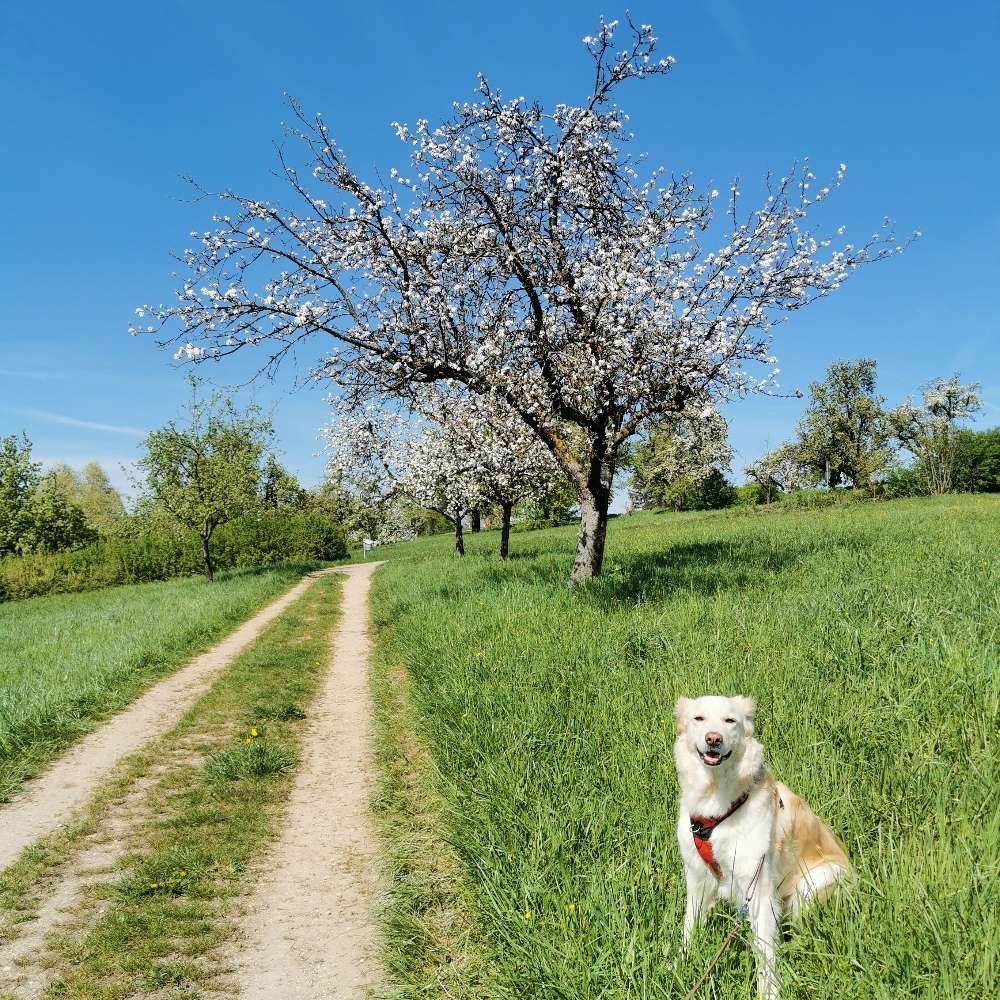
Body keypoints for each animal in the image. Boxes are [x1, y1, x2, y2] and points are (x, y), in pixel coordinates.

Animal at [676, 700, 848, 996]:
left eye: (730, 720)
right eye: (699, 718)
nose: (713, 739)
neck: (716, 805)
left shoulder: (759, 888)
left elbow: (766, 953)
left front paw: (768, 992)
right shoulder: (697, 878)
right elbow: (689, 927)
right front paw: (677, 966)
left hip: (812, 885)